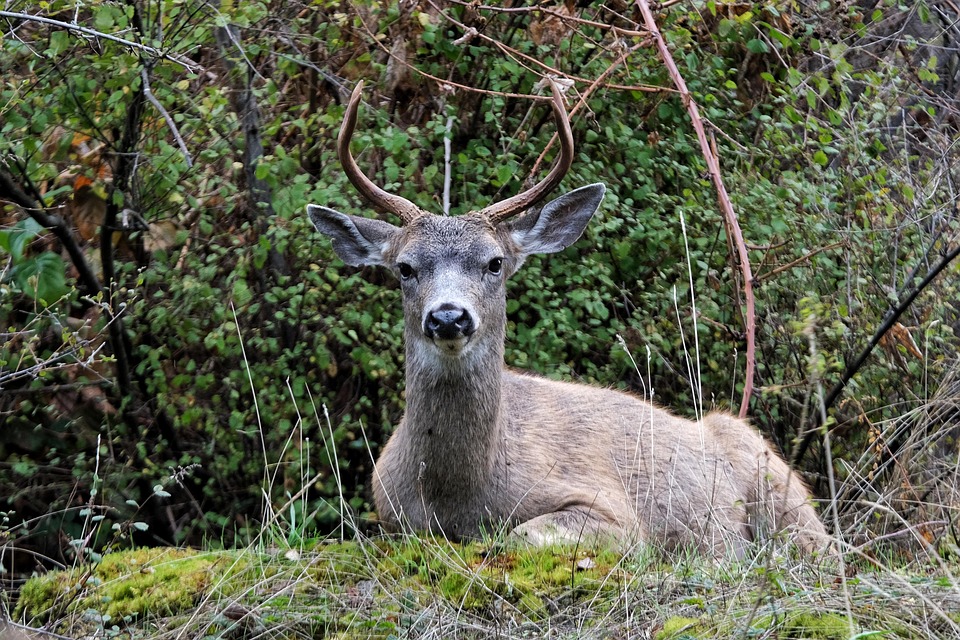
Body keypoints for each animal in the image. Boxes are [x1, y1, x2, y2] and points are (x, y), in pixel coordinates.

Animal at [307, 80, 829, 558]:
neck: (456, 495)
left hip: (785, 498)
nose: (449, 317)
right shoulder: (390, 516)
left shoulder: (612, 512)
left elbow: (519, 534)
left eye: (495, 262)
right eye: (405, 267)